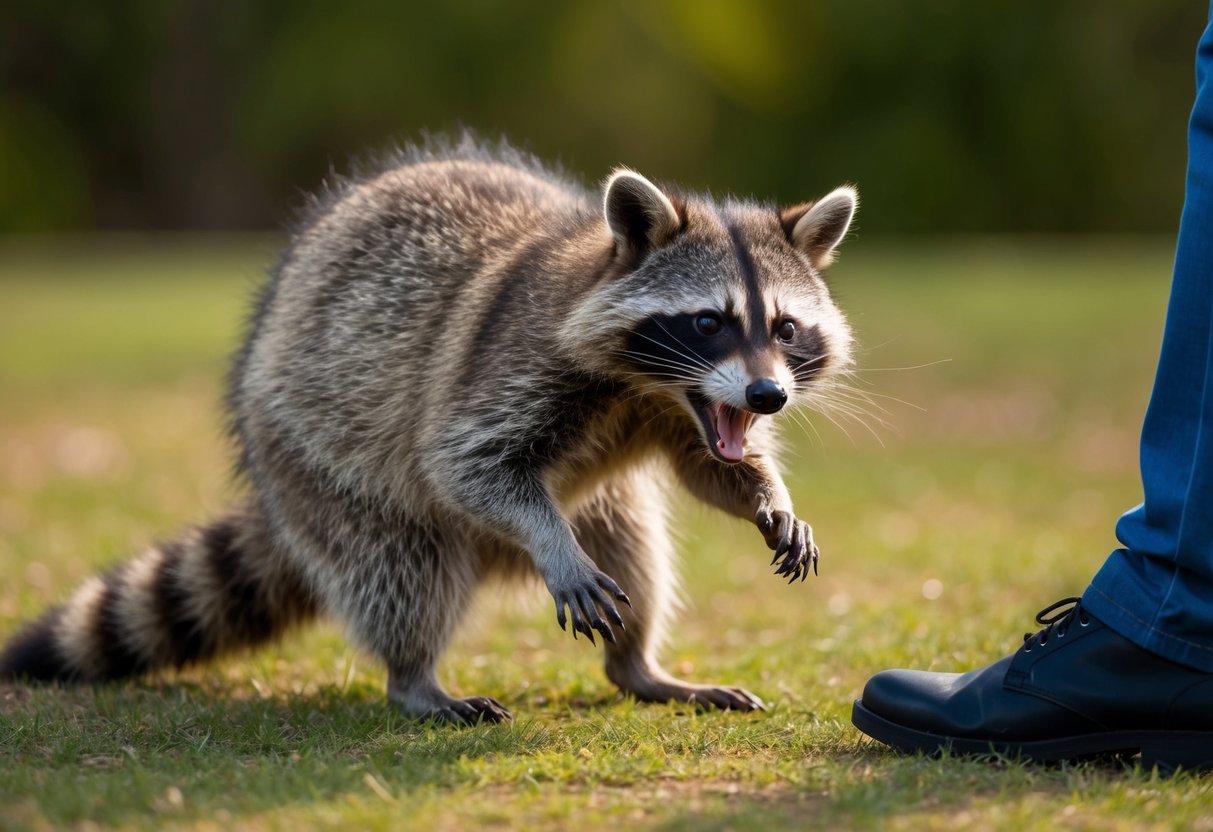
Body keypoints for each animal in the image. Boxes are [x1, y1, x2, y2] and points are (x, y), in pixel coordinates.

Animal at [0, 139, 857, 724]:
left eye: (783, 328)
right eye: (708, 322)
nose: (767, 395)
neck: (648, 387)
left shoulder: (685, 414)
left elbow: (708, 468)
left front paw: (768, 494)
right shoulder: (511, 362)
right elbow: (466, 464)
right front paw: (547, 539)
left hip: (601, 504)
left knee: (633, 551)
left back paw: (637, 665)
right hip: (314, 459)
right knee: (400, 567)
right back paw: (415, 674)